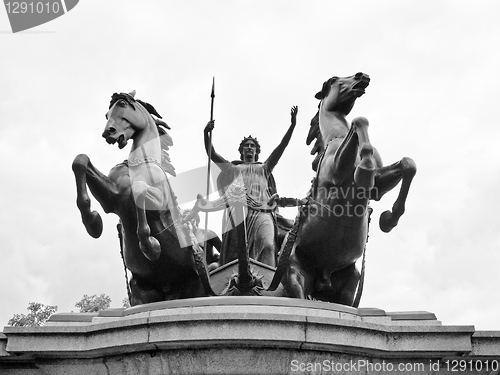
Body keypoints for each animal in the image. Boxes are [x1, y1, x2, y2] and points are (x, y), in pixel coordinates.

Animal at [72, 92, 213, 306]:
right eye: (107, 114)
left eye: (122, 104)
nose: (108, 133)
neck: (140, 163)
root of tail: (171, 290)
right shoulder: (112, 200)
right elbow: (80, 160)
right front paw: (93, 222)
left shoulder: (159, 204)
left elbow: (138, 190)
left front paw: (151, 247)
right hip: (142, 292)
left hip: (197, 287)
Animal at [276, 72, 416, 306]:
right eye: (333, 79)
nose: (363, 76)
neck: (337, 136)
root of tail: (322, 278)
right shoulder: (337, 172)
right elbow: (359, 120)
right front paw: (364, 168)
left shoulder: (378, 186)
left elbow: (408, 164)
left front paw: (389, 219)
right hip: (294, 273)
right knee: (299, 294)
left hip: (350, 283)